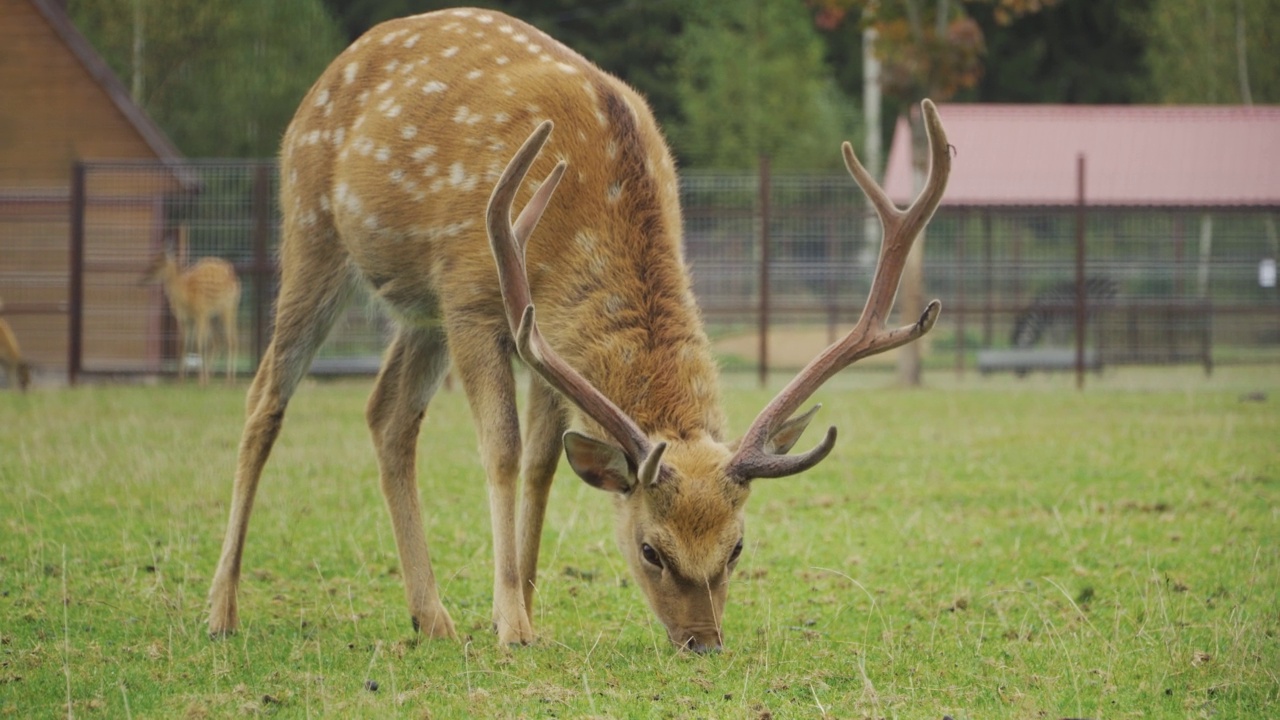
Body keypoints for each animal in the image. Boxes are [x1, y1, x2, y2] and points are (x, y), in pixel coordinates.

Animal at [140, 249, 241, 384]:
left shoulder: (201, 313)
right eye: (152, 261)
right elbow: (183, 344)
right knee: (218, 341)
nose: (142, 279)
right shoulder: (186, 319)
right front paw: (181, 378)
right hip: (214, 317)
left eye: (157, 264)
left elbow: (199, 344)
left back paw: (229, 379)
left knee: (232, 340)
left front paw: (201, 380)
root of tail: (235, 277)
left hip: (228, 307)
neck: (185, 296)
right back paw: (212, 375)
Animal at [207, 8, 952, 650]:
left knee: (387, 414)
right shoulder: (476, 301)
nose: (703, 642)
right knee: (265, 396)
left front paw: (528, 605)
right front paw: (511, 624)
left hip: (419, 309)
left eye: (737, 546)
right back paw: (222, 609)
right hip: (314, 229)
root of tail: (333, 68)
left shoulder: (550, 337)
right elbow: (503, 452)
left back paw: (432, 617)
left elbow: (542, 463)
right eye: (651, 550)